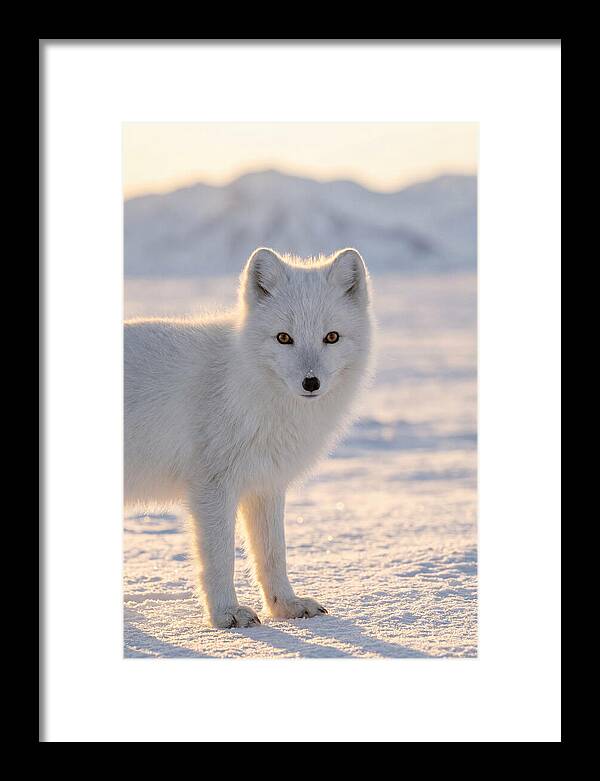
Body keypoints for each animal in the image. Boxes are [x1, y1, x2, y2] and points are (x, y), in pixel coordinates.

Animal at [124, 247, 374, 628]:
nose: (311, 382)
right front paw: (226, 614)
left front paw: (286, 606)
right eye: (284, 338)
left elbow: (273, 554)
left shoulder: (265, 483)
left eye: (331, 337)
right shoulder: (212, 486)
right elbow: (220, 558)